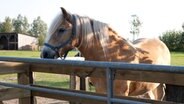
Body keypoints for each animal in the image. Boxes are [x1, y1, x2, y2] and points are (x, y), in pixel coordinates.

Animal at [41, 7, 170, 100]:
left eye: (61, 30)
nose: (44, 54)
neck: (112, 57)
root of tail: (161, 43)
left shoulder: (120, 95)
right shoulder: (101, 91)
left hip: (159, 87)